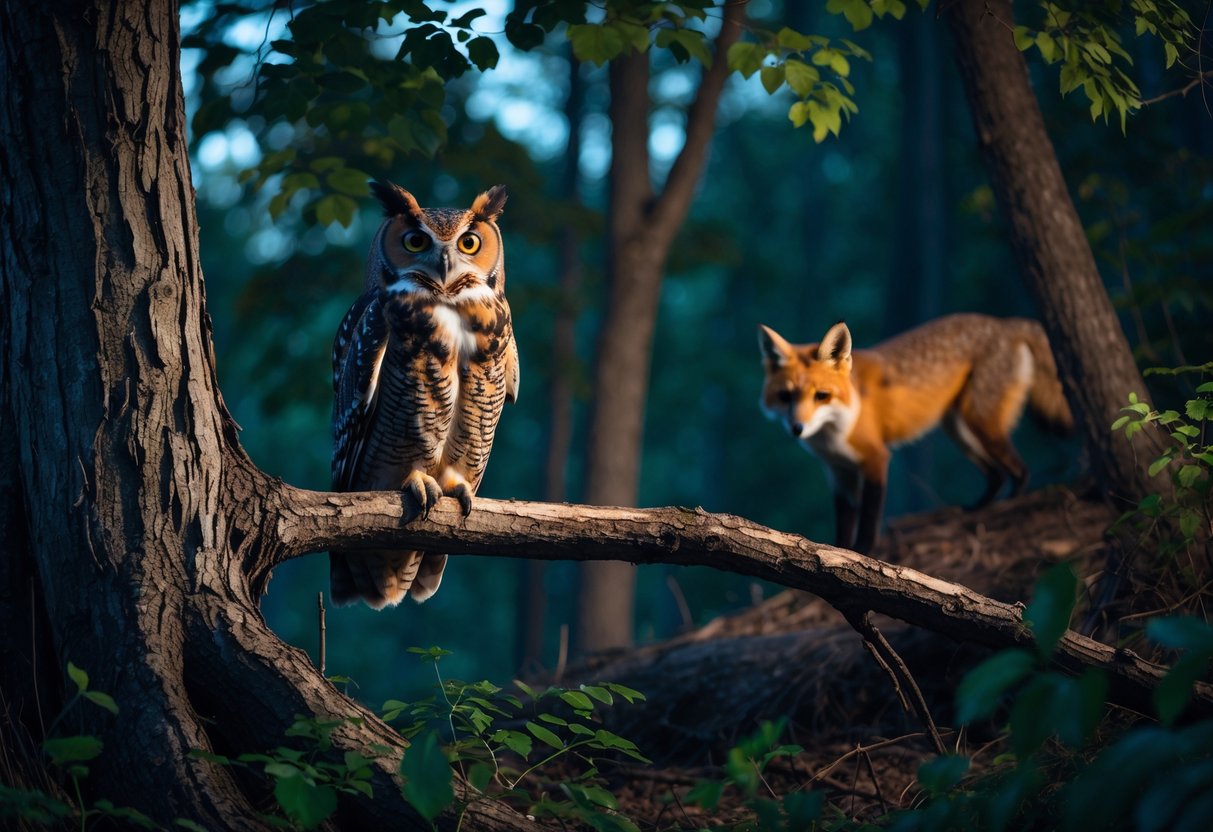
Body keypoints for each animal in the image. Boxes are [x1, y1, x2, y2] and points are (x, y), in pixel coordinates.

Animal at [758, 314, 1073, 554]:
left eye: (821, 396)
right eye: (786, 397)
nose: (797, 429)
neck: (833, 435)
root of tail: (1004, 322)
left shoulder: (876, 459)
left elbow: (869, 518)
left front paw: (861, 553)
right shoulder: (838, 472)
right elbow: (845, 524)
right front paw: (837, 552)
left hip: (982, 425)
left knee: (1020, 471)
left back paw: (1009, 505)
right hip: (958, 430)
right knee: (996, 474)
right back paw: (977, 509)